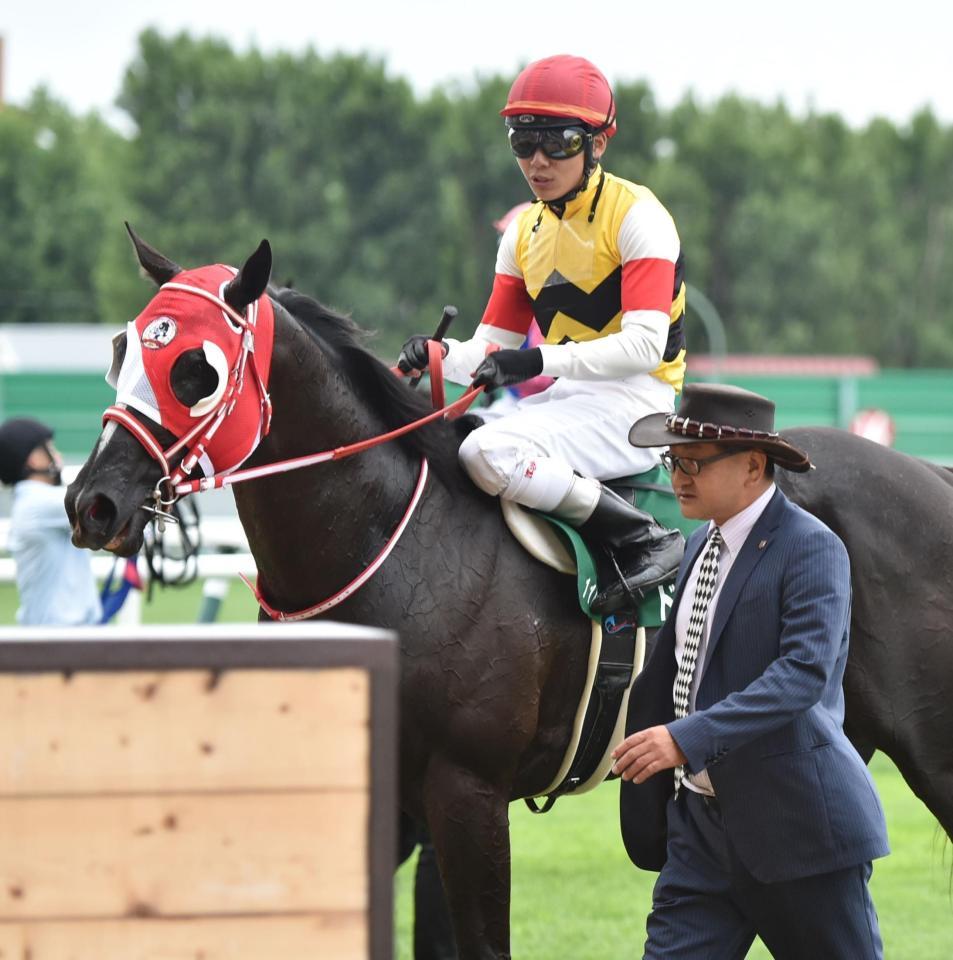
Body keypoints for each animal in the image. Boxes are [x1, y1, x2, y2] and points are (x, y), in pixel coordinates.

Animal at [67, 234, 952, 960]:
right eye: (120, 349)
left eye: (196, 368)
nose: (93, 503)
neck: (391, 540)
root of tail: (929, 473)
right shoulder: (394, 797)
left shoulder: (467, 792)